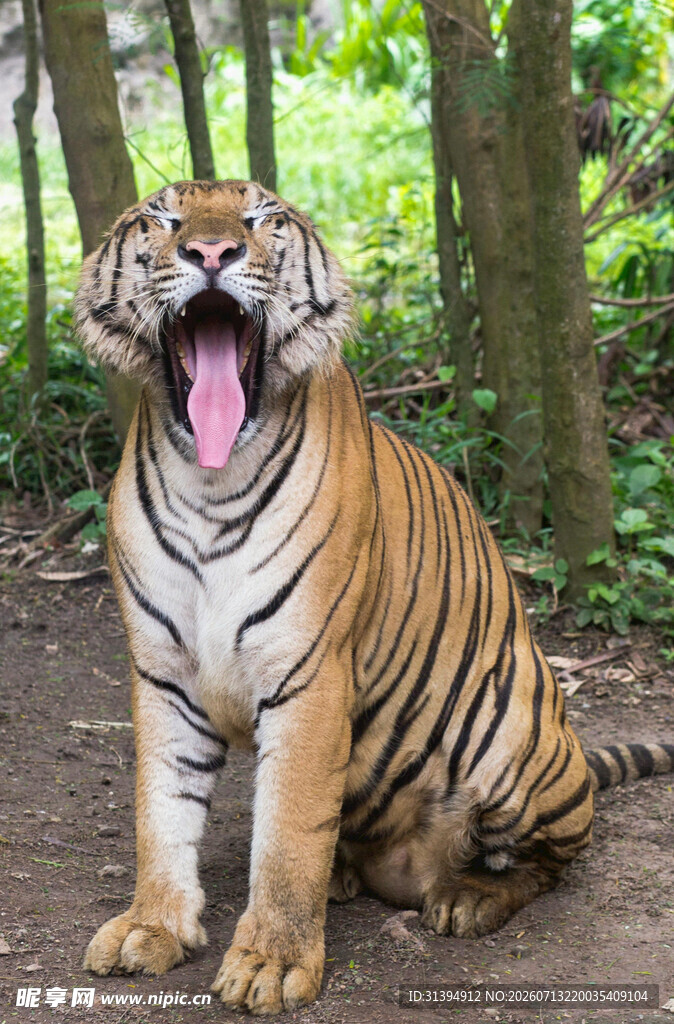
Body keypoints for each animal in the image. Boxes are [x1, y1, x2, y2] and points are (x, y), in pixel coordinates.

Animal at [75, 180, 674, 1015]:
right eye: (164, 219)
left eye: (259, 218)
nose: (211, 252)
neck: (209, 479)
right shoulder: (162, 671)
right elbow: (161, 809)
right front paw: (151, 927)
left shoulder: (308, 674)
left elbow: (289, 832)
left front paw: (271, 964)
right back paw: (350, 879)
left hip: (515, 736)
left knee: (551, 861)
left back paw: (467, 898)